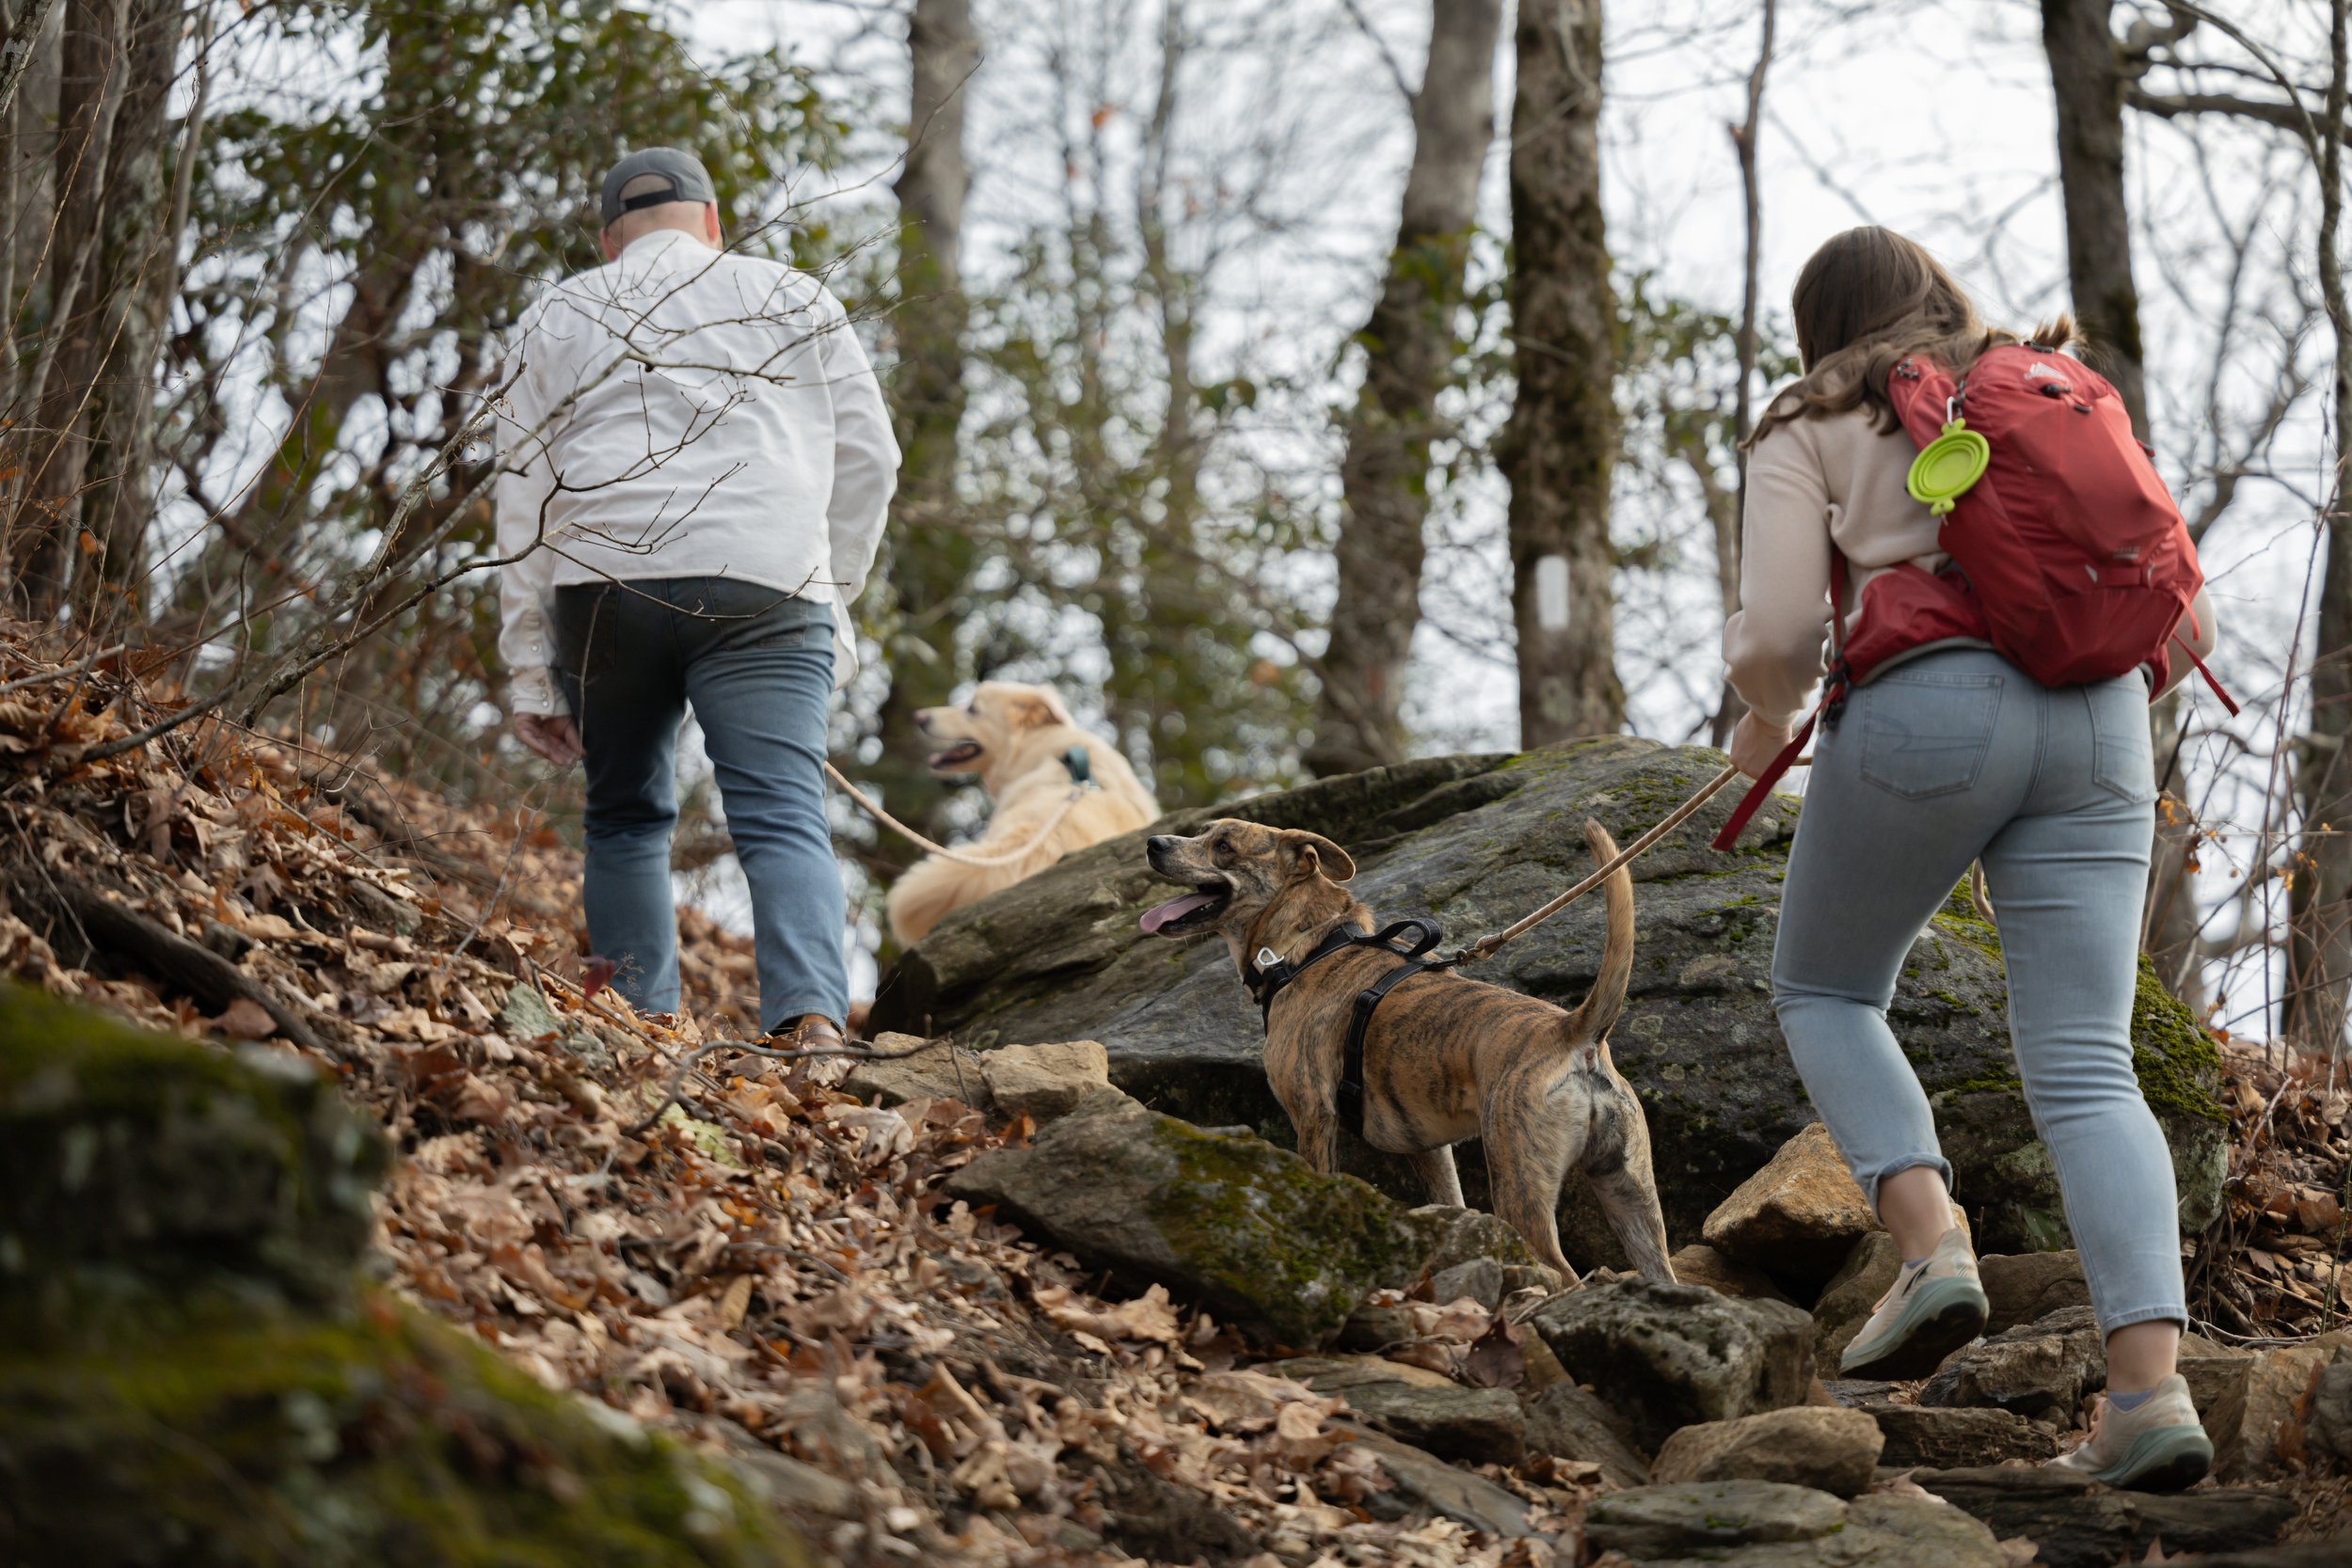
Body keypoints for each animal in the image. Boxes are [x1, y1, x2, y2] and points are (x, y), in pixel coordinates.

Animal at [1138, 817, 1675, 1278]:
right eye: (1202, 832)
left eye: (1224, 846)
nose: (1154, 843)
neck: (1308, 946)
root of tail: (1574, 1032)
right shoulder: (1429, 1148)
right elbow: (1451, 1202)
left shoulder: (1312, 1117)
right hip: (1632, 1197)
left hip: (1520, 1180)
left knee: (1564, 1275)